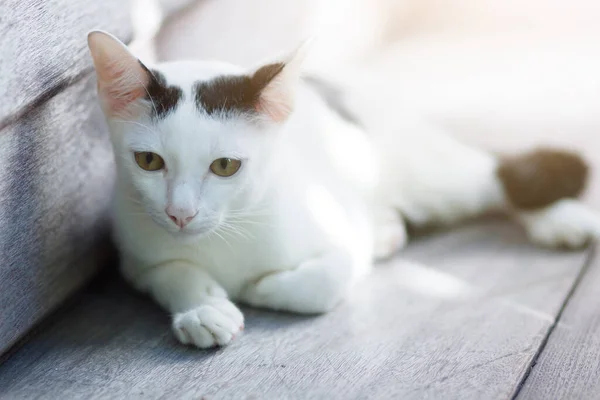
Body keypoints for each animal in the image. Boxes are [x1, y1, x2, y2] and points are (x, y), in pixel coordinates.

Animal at [86, 31, 600, 348]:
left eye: (225, 166)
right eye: (149, 162)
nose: (181, 214)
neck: (228, 233)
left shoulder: (334, 226)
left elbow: (329, 277)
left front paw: (262, 289)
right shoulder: (134, 255)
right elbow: (169, 271)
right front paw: (202, 308)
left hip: (421, 169)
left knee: (493, 176)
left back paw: (559, 218)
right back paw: (388, 227)